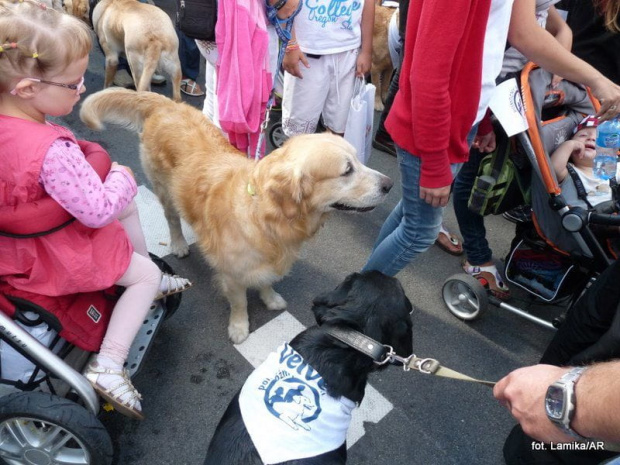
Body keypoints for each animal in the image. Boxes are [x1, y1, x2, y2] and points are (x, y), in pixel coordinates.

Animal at [81, 89, 392, 342]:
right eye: (347, 170)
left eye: (359, 160)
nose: (389, 185)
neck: (266, 217)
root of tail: (167, 105)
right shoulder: (232, 274)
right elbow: (240, 302)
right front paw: (239, 327)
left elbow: (266, 281)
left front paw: (271, 298)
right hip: (163, 190)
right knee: (172, 219)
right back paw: (179, 244)